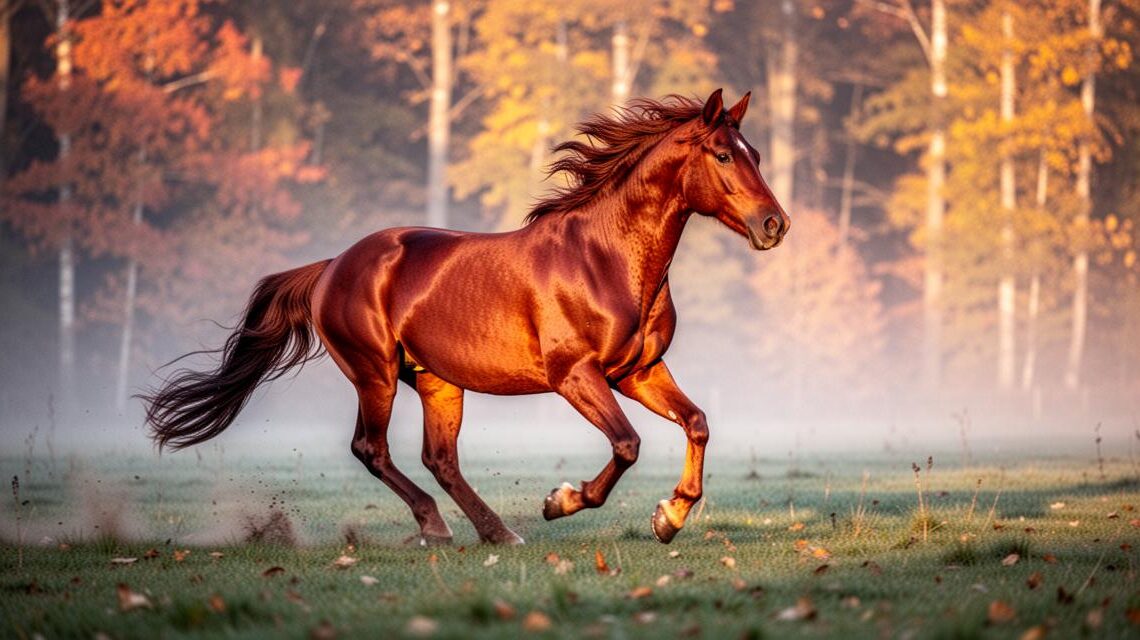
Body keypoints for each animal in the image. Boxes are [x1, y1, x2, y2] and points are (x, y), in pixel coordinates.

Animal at [143, 89, 789, 545]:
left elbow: (697, 423)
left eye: (756, 154)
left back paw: (496, 532)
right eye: (724, 154)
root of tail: (332, 266)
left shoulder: (640, 371)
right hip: (375, 374)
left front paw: (669, 517)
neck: (604, 258)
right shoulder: (575, 376)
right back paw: (440, 527)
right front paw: (561, 501)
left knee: (440, 459)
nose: (774, 225)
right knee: (371, 449)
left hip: (437, 381)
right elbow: (627, 444)